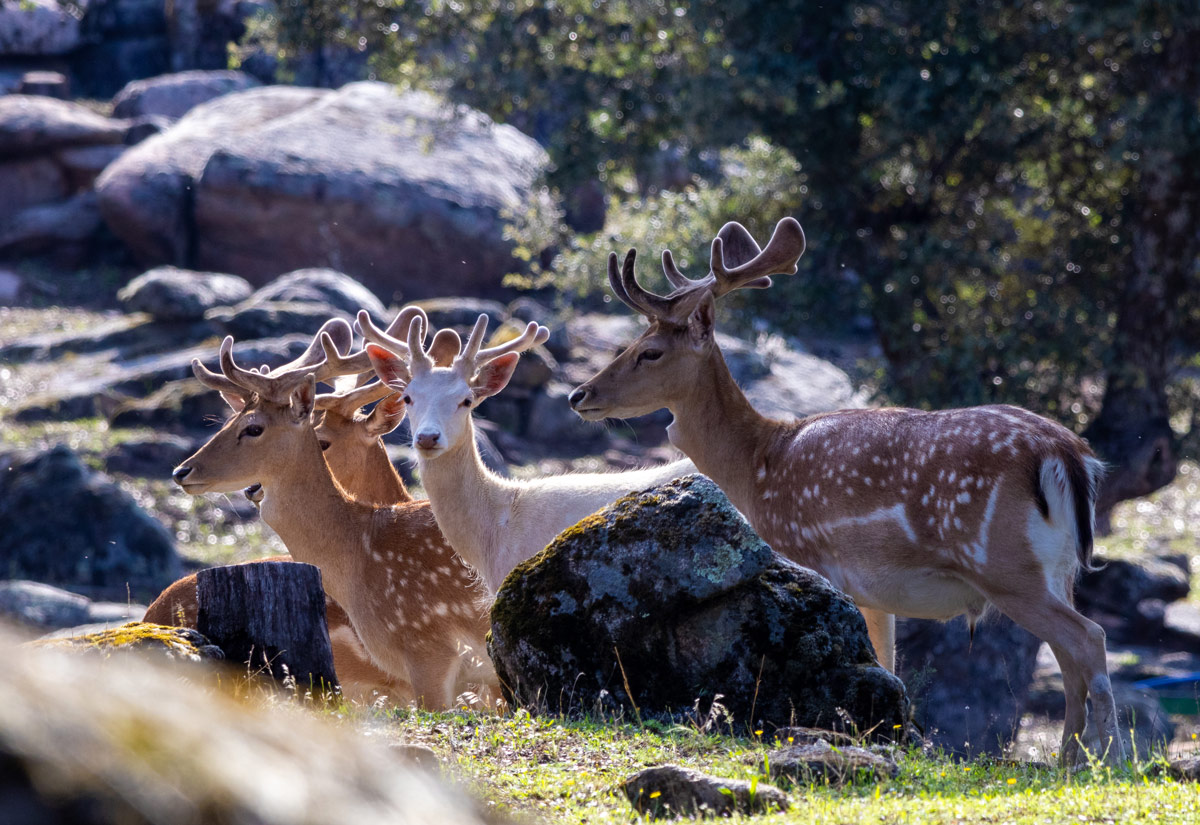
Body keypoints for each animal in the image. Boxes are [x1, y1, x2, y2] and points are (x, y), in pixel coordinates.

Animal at [566, 219, 1118, 767]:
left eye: (650, 352)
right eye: (631, 342)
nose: (579, 395)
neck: (757, 465)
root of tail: (1067, 455)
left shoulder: (811, 558)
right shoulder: (874, 590)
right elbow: (890, 664)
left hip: (1004, 565)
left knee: (1089, 638)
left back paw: (1111, 758)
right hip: (1059, 569)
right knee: (1070, 659)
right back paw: (1069, 762)